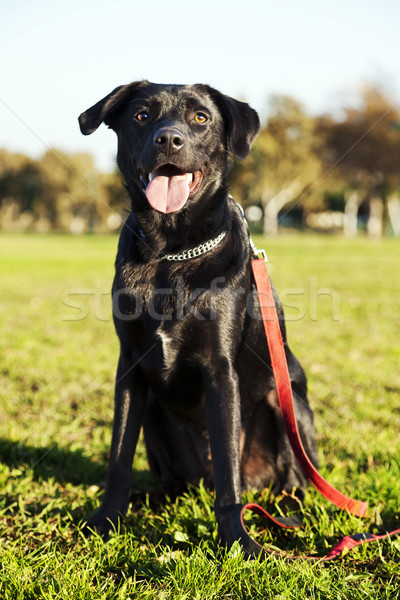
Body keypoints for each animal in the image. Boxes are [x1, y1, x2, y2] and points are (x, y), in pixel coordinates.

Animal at [78, 81, 318, 556]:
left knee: (291, 478)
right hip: (156, 413)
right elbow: (118, 456)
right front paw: (107, 521)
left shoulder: (219, 369)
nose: (169, 140)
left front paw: (237, 540)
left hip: (287, 403)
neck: (170, 253)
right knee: (171, 480)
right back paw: (152, 498)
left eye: (201, 118)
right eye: (142, 115)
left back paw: (289, 510)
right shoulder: (130, 367)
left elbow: (228, 471)